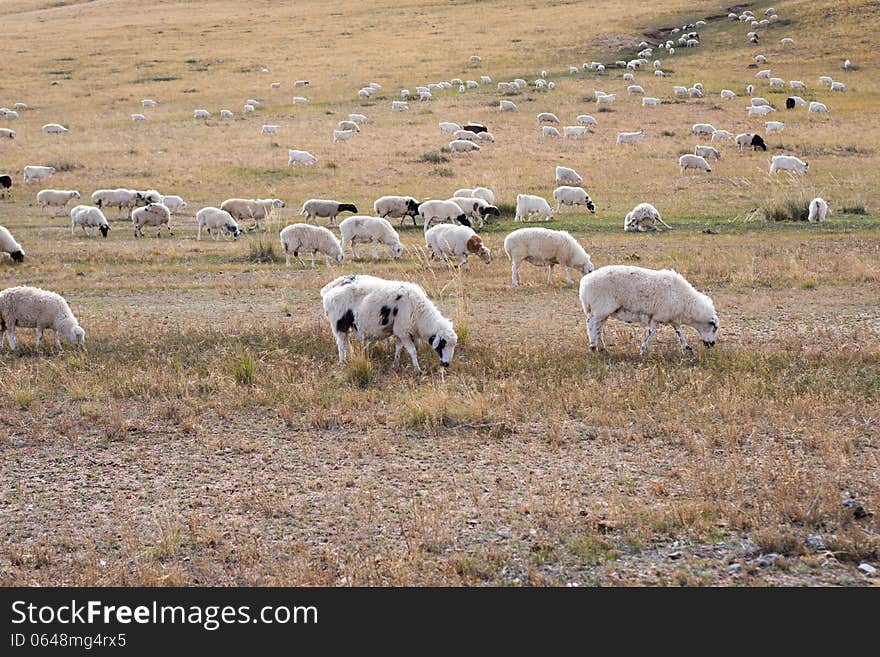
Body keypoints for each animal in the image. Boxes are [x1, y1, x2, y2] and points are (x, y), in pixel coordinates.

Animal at [320, 272, 458, 374]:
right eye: (443, 344)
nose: (446, 364)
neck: (420, 313)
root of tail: (328, 290)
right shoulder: (403, 332)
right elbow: (412, 351)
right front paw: (417, 370)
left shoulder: (400, 332)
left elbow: (398, 348)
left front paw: (395, 365)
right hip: (338, 323)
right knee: (340, 344)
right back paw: (343, 362)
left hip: (346, 324)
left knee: (346, 341)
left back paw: (352, 356)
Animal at [580, 266, 720, 356]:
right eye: (714, 328)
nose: (712, 344)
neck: (686, 303)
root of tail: (584, 284)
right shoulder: (659, 316)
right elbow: (651, 332)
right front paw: (643, 350)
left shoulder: (670, 318)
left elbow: (679, 333)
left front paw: (687, 348)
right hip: (601, 306)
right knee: (591, 323)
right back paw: (593, 346)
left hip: (603, 310)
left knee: (598, 326)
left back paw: (602, 348)